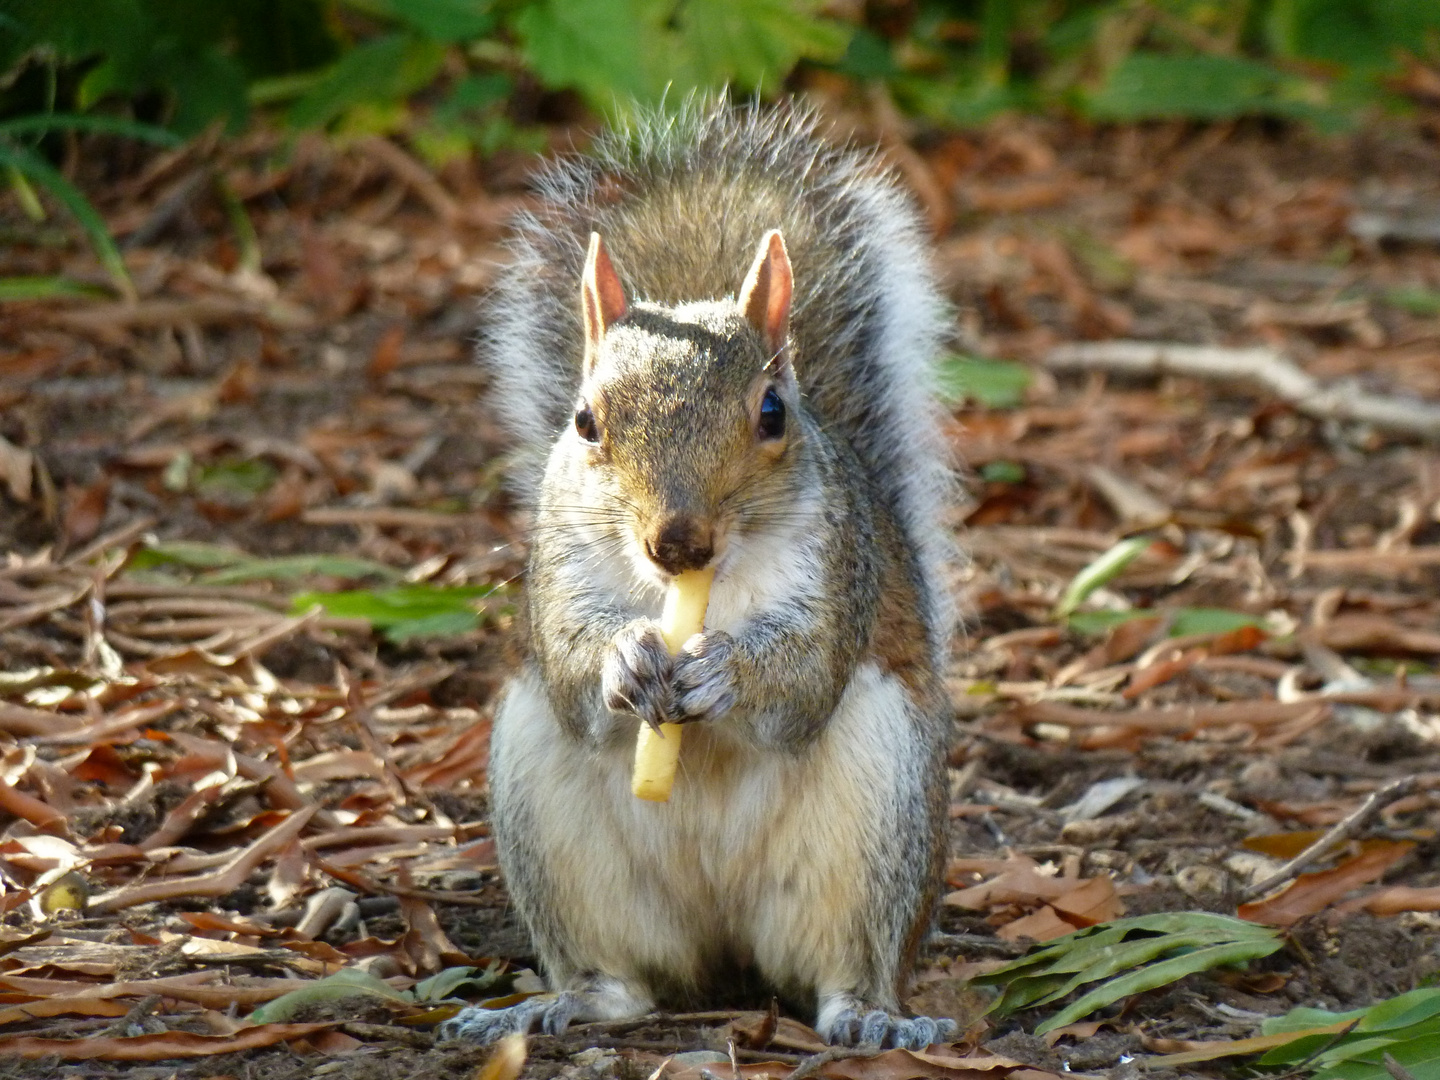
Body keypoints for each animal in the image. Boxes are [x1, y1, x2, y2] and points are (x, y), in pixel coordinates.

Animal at [443, 99, 961, 1048]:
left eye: (773, 413)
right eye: (584, 420)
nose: (677, 544)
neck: (699, 591)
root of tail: (723, 944)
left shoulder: (840, 569)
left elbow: (804, 676)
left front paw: (725, 670)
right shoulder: (559, 567)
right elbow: (569, 659)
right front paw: (625, 659)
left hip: (880, 810)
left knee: (844, 963)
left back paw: (874, 1017)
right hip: (552, 823)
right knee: (622, 981)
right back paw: (554, 1004)